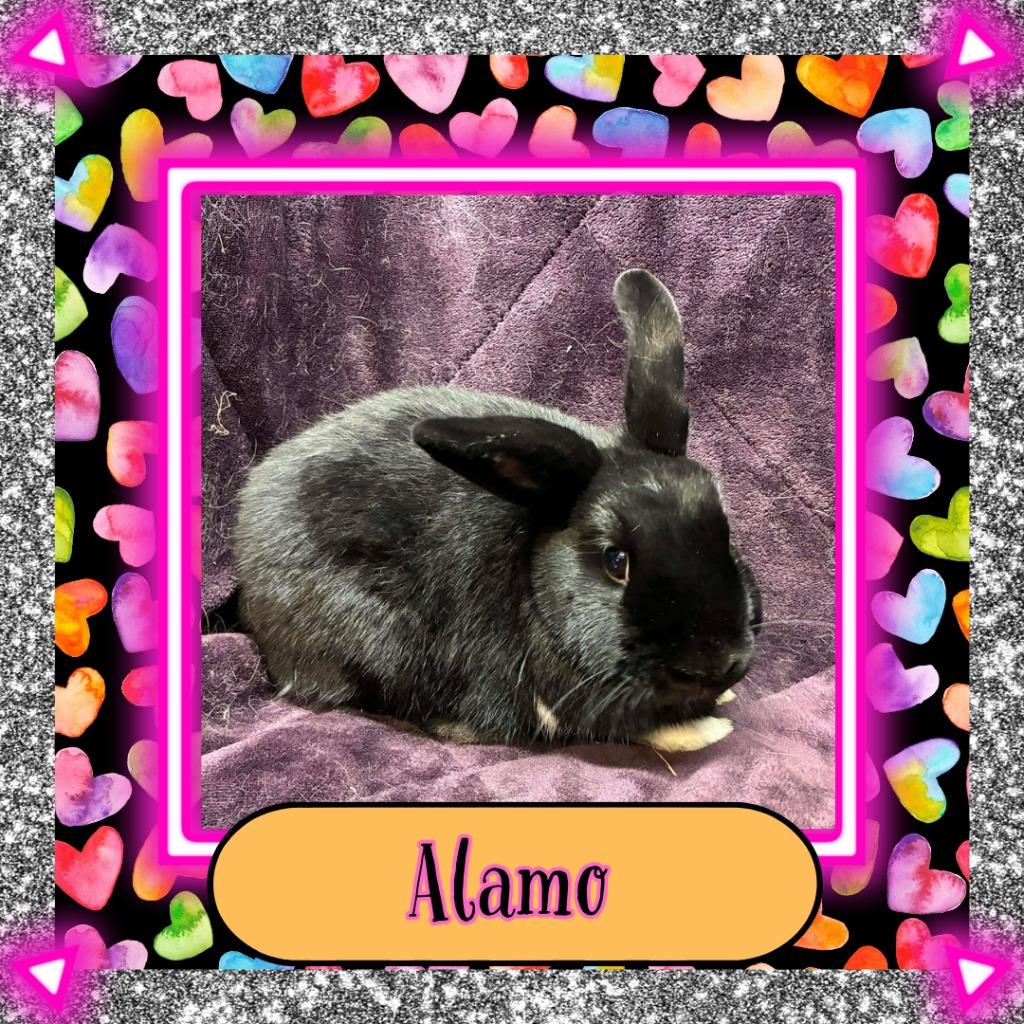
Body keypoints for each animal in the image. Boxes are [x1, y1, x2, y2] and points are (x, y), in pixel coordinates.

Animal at [232, 269, 763, 752]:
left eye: (726, 537)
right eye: (616, 561)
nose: (716, 664)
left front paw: (723, 699)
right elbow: (636, 729)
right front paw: (707, 729)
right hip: (380, 645)